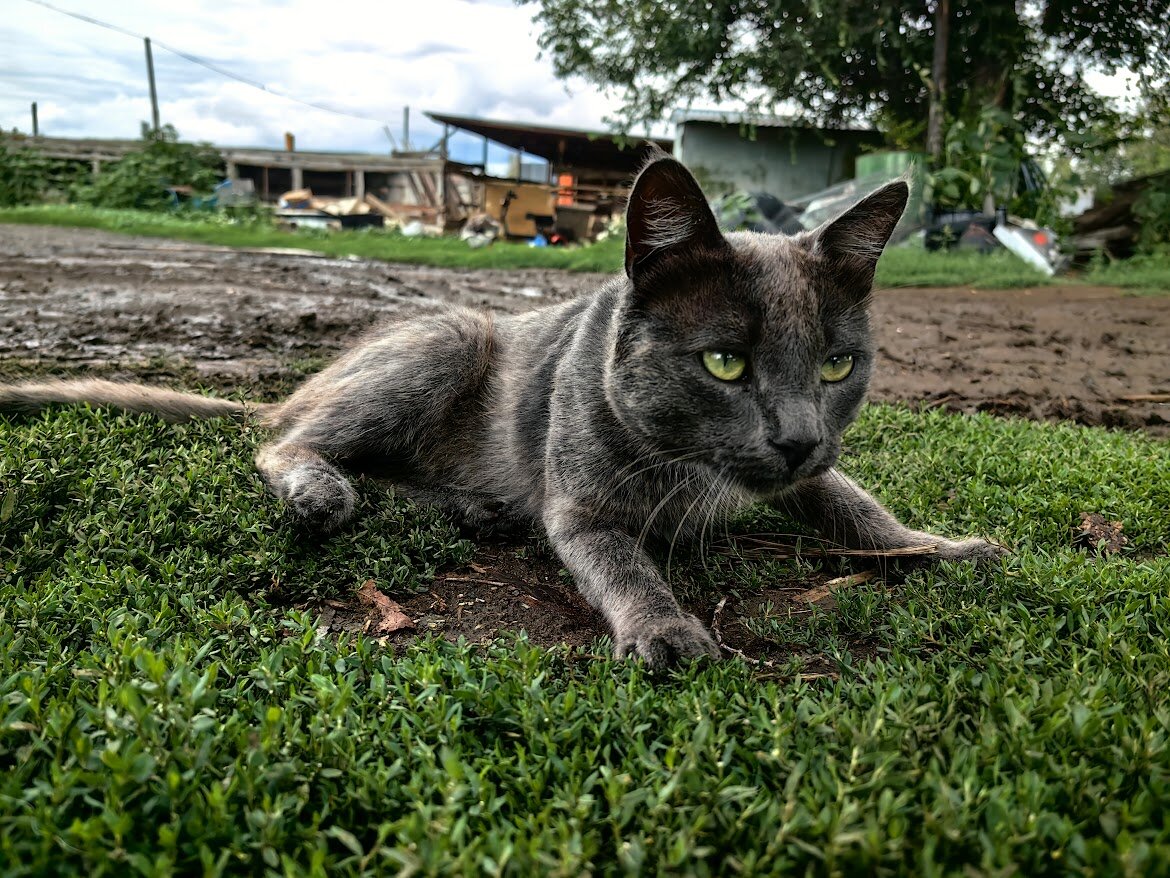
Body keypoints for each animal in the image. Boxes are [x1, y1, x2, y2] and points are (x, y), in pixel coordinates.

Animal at [2, 156, 1006, 664]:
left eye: (838, 365)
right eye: (724, 362)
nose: (796, 436)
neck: (688, 463)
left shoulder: (814, 470)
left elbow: (856, 504)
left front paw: (943, 546)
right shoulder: (583, 506)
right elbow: (622, 562)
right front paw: (666, 627)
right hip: (443, 338)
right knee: (286, 444)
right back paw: (321, 491)